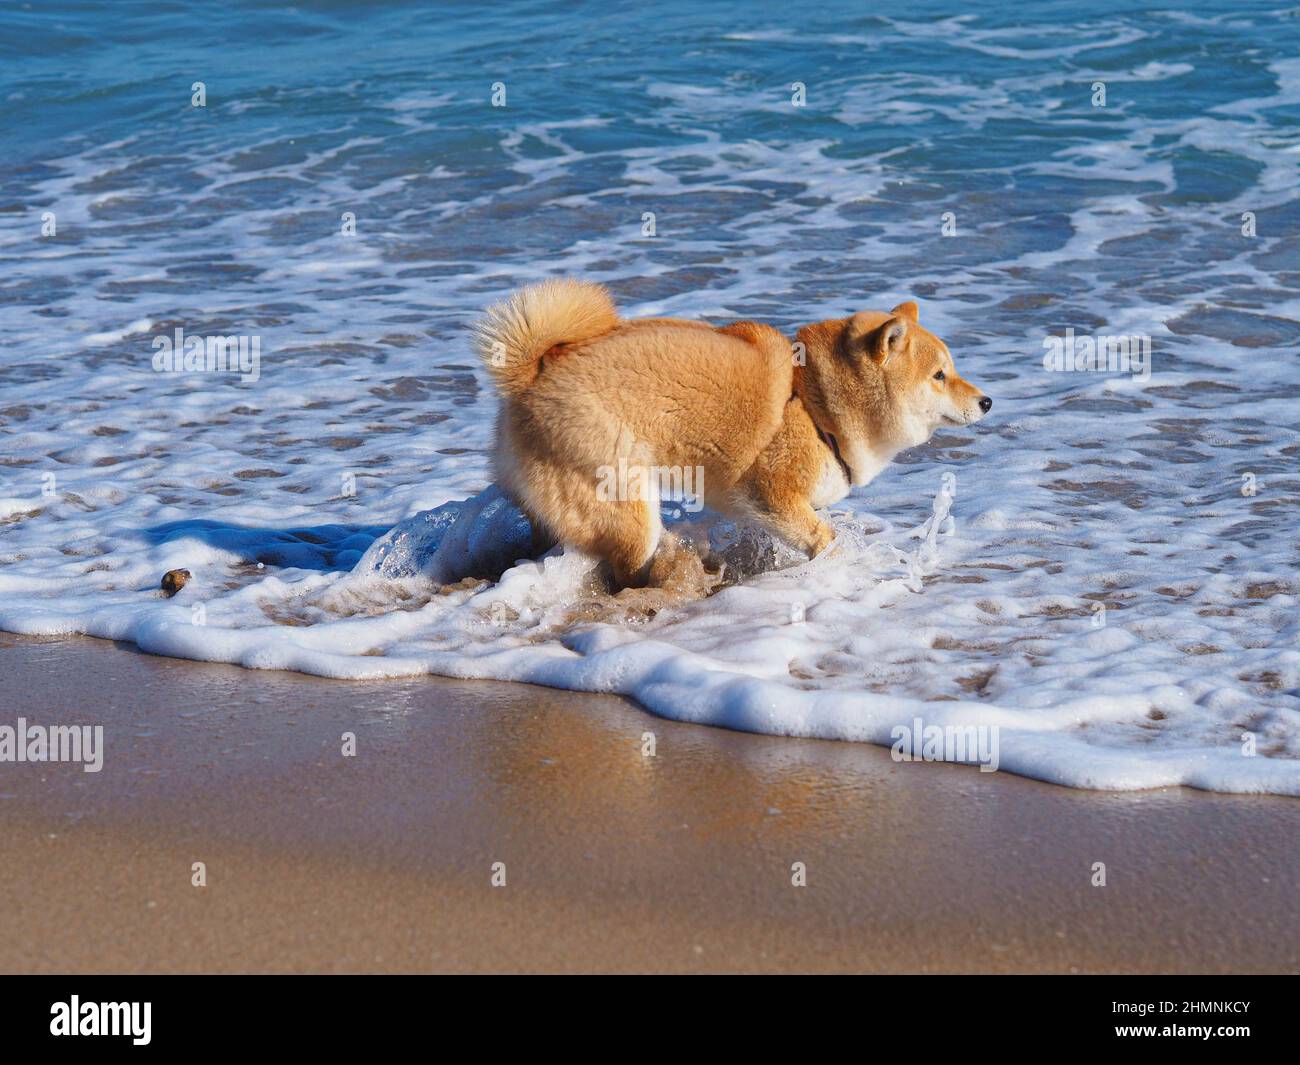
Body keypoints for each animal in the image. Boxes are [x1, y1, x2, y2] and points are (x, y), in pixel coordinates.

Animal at [478, 279, 993, 587]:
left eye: (951, 369)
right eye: (940, 375)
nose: (987, 401)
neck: (816, 405)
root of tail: (534, 373)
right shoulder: (771, 492)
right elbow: (823, 536)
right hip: (623, 497)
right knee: (625, 560)